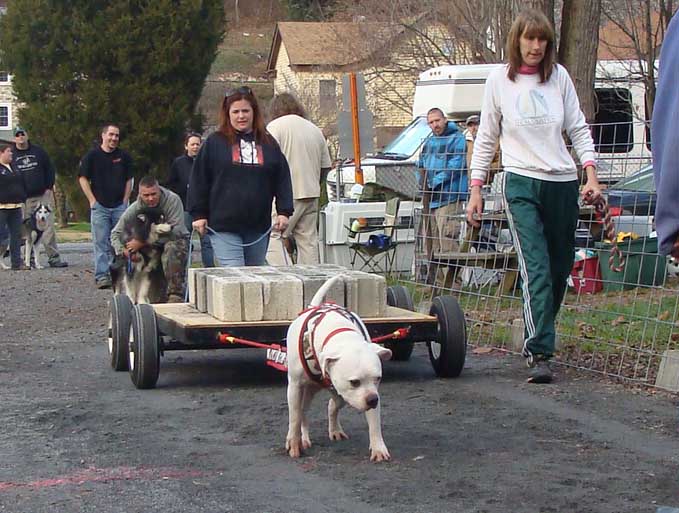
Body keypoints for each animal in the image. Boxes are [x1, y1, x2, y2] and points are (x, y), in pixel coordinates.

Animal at [286, 274, 394, 462]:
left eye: (378, 378)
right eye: (354, 382)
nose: (373, 400)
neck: (340, 334)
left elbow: (374, 422)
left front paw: (378, 448)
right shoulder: (294, 386)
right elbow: (294, 417)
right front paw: (294, 442)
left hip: (331, 391)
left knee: (333, 403)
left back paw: (335, 429)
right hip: (306, 390)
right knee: (302, 412)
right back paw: (303, 438)